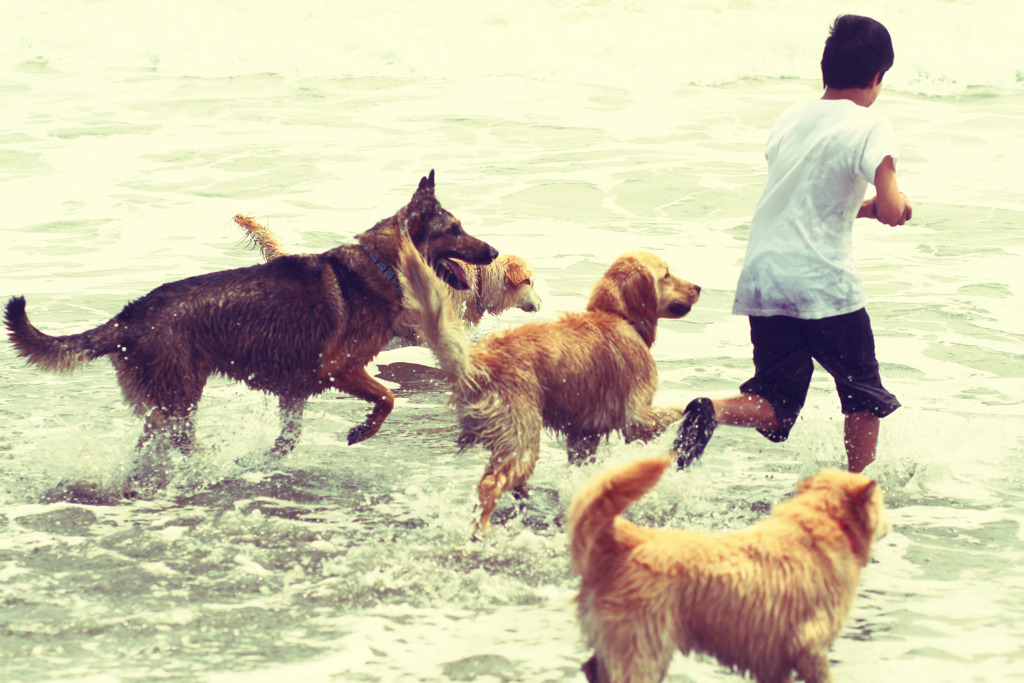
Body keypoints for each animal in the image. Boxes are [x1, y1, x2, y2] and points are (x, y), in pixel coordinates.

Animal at [1, 172, 495, 464]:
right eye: (455, 231)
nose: (491, 252)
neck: (382, 266)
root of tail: (129, 317)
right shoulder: (338, 368)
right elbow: (387, 399)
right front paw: (361, 431)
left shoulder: (295, 391)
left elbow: (288, 438)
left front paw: (267, 462)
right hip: (179, 399)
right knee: (172, 441)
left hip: (168, 401)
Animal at [395, 236, 700, 532]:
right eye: (667, 275)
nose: (698, 287)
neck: (619, 317)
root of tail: (478, 361)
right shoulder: (636, 415)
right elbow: (677, 411)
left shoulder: (583, 434)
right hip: (523, 436)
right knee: (490, 485)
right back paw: (485, 530)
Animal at [569, 454, 888, 683]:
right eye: (882, 503)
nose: (891, 523)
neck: (826, 523)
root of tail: (626, 541)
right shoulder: (809, 647)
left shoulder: (774, 661)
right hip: (644, 650)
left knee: (592, 670)